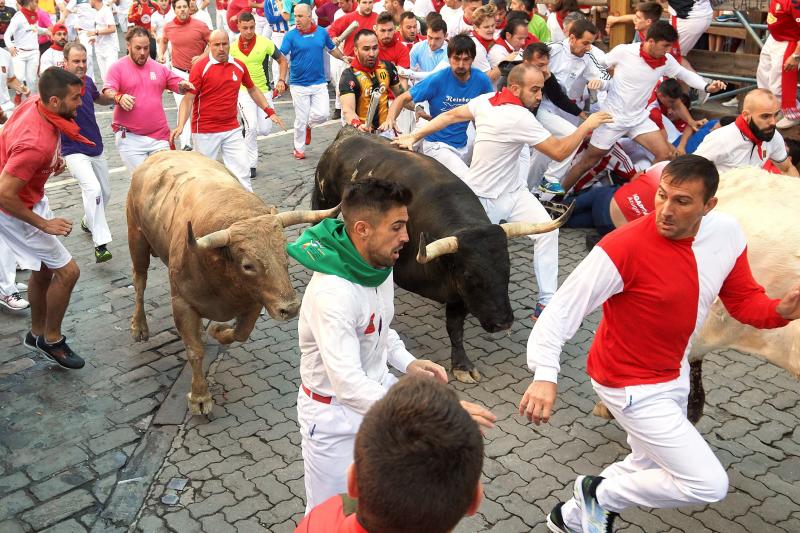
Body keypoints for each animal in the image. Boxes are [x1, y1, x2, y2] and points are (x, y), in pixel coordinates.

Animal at [127, 152, 338, 414]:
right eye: (248, 265)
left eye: (285, 253)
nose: (290, 308)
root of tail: (159, 154)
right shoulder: (181, 303)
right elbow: (194, 350)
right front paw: (200, 396)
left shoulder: (256, 299)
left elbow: (240, 333)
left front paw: (218, 331)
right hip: (136, 238)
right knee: (139, 281)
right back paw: (139, 326)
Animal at [312, 127, 568, 380]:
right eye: (470, 275)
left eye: (508, 268)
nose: (502, 323)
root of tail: (348, 133)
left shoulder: (458, 294)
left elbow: (454, 327)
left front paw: (461, 365)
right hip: (323, 199)